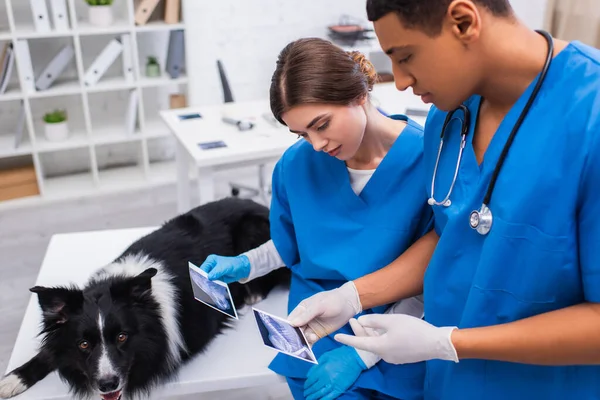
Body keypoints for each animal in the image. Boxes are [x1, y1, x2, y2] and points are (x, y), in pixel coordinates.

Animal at [0, 198, 290, 400]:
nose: (108, 384)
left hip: (254, 229)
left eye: (122, 337)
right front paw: (12, 380)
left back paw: (252, 293)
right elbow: (48, 352)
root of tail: (261, 204)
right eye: (83, 344)